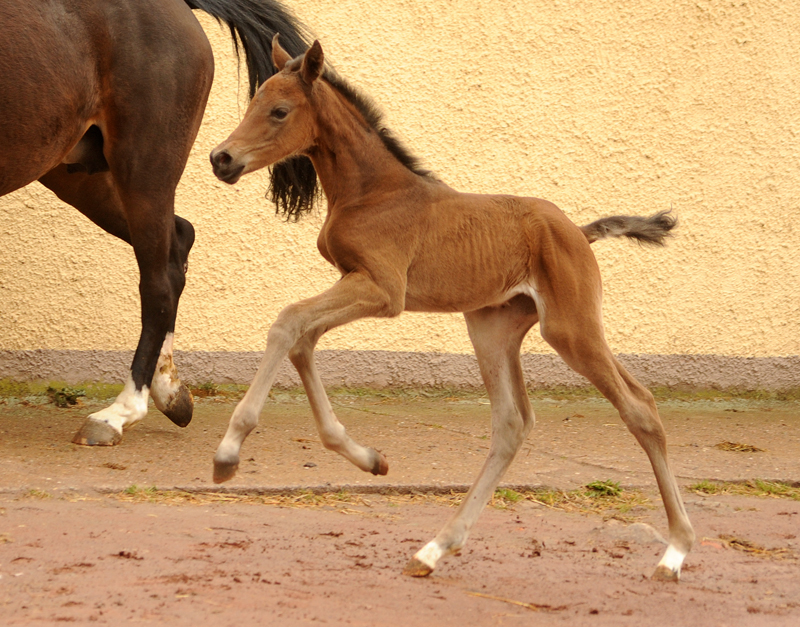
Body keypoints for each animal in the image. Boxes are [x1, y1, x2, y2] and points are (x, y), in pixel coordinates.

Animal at [1, 0, 318, 446]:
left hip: (144, 165)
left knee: (158, 282)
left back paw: (118, 414)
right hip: (78, 171)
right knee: (179, 241)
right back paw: (170, 391)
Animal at [209, 35, 696, 584]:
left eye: (279, 111)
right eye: (253, 103)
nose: (221, 158)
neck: (371, 191)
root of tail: (578, 231)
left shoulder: (384, 290)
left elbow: (287, 322)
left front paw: (229, 452)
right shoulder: (354, 281)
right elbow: (302, 339)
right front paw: (369, 458)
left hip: (571, 329)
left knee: (640, 407)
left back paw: (675, 552)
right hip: (494, 328)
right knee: (512, 424)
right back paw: (434, 548)